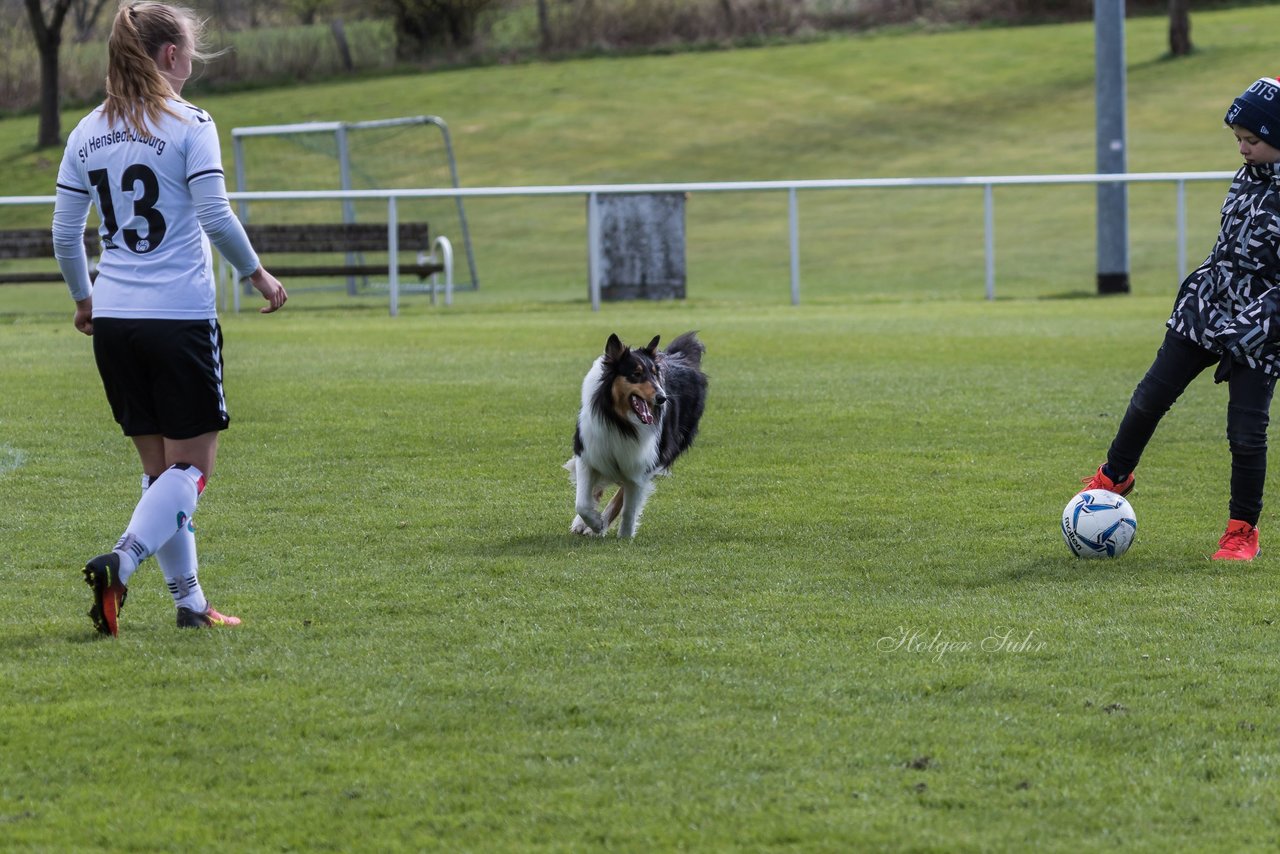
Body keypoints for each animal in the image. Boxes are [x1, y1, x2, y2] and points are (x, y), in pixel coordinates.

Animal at [570, 330, 711, 537]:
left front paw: (619, 533)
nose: (662, 398)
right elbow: (582, 502)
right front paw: (593, 522)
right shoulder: (588, 452)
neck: (621, 422)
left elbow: (629, 506)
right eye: (636, 374)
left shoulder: (642, 461)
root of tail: (679, 356)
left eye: (654, 374)